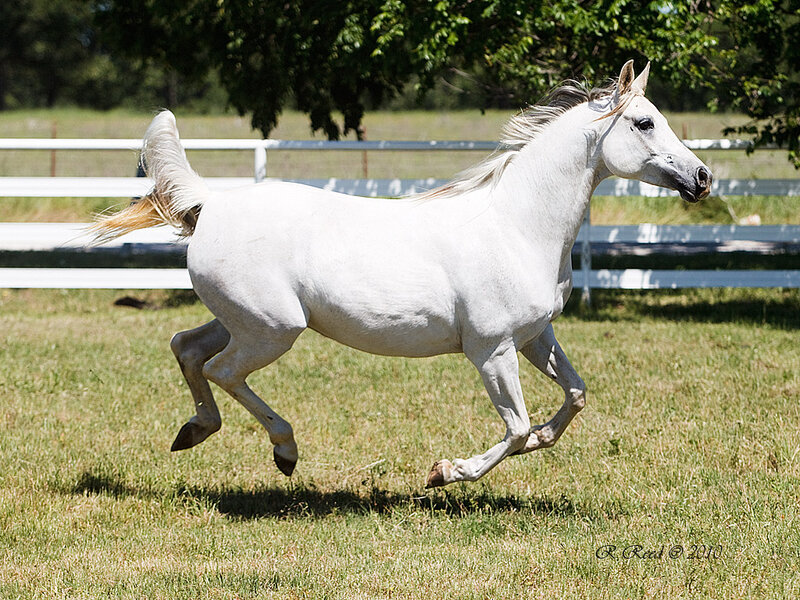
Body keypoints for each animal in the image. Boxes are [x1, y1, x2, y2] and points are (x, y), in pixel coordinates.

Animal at [92, 61, 711, 488]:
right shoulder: (491, 349)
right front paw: (445, 472)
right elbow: (513, 429)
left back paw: (193, 432)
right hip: (273, 330)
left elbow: (575, 397)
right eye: (644, 122)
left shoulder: (535, 337)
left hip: (242, 322)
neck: (516, 225)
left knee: (187, 347)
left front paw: (539, 440)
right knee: (220, 370)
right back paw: (284, 451)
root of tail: (213, 205)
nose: (702, 177)